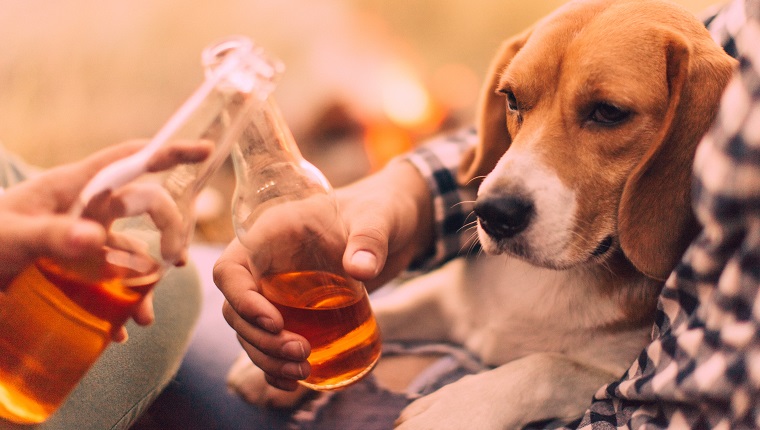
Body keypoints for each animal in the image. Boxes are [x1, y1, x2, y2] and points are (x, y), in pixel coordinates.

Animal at [226, 1, 736, 428]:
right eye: (511, 99)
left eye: (609, 112)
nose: (494, 212)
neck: (546, 281)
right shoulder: (450, 302)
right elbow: (393, 308)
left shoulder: (613, 373)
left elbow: (547, 366)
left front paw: (455, 407)